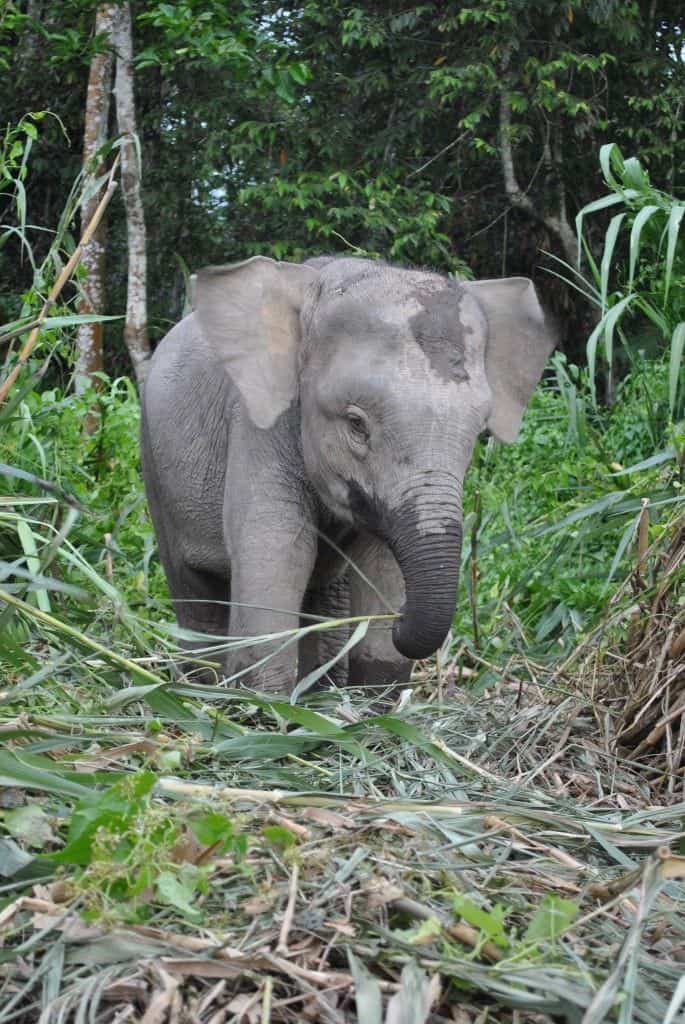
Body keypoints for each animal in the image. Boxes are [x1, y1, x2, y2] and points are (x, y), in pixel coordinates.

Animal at [140, 253, 557, 696]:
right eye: (356, 424)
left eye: (479, 432)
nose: (401, 619)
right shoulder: (259, 427)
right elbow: (278, 550)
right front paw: (262, 704)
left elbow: (379, 565)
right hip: (155, 463)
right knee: (196, 594)